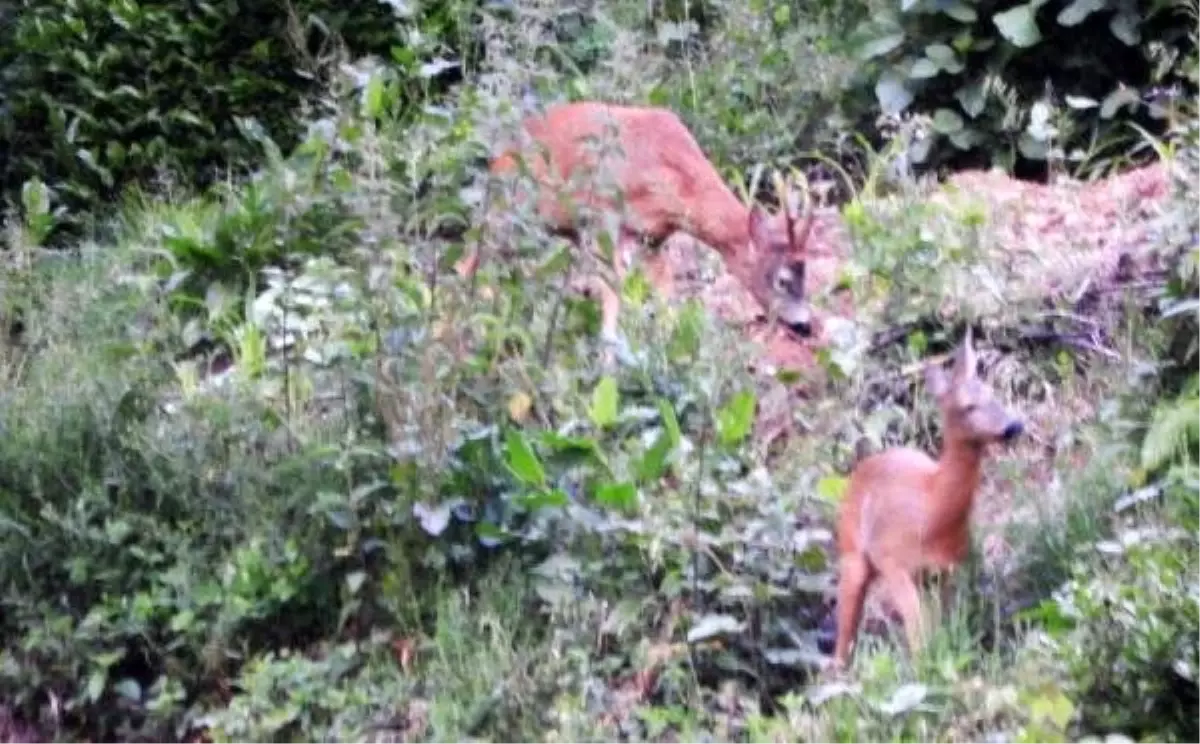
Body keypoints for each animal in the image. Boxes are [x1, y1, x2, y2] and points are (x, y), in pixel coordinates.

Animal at [453, 100, 820, 352]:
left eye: (807, 274)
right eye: (783, 279)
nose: (805, 326)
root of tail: (496, 161)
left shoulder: (652, 238)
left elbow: (666, 295)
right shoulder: (601, 218)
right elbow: (611, 289)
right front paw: (608, 356)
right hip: (505, 211)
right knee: (465, 263)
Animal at [835, 328, 1022, 672]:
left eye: (993, 394)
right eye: (968, 406)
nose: (1014, 426)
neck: (932, 511)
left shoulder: (951, 569)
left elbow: (946, 626)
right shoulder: (892, 558)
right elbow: (917, 630)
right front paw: (924, 669)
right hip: (852, 552)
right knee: (844, 635)